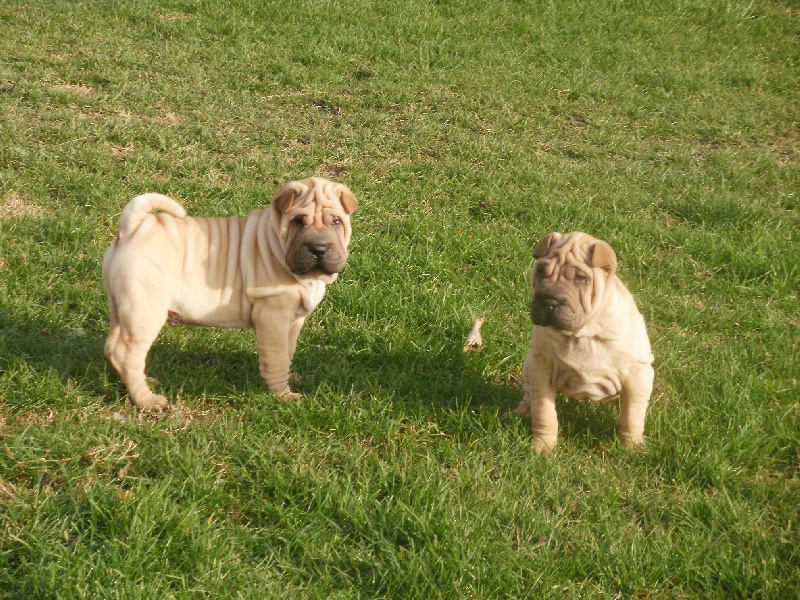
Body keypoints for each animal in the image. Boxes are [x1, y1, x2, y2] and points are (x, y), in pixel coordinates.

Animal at [101, 177, 358, 408]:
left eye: (336, 222)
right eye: (298, 222)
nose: (319, 249)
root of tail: (134, 227)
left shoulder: (294, 321)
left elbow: (288, 351)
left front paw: (291, 378)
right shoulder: (273, 317)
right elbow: (276, 358)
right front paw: (283, 395)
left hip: (120, 307)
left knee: (114, 348)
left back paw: (145, 382)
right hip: (145, 310)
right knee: (127, 353)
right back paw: (147, 400)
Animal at [512, 232, 656, 452]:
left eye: (580, 278)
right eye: (541, 271)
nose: (549, 300)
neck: (584, 333)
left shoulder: (637, 375)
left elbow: (632, 416)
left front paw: (632, 447)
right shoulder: (540, 368)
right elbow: (544, 412)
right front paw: (543, 446)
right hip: (529, 366)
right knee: (529, 397)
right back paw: (519, 412)